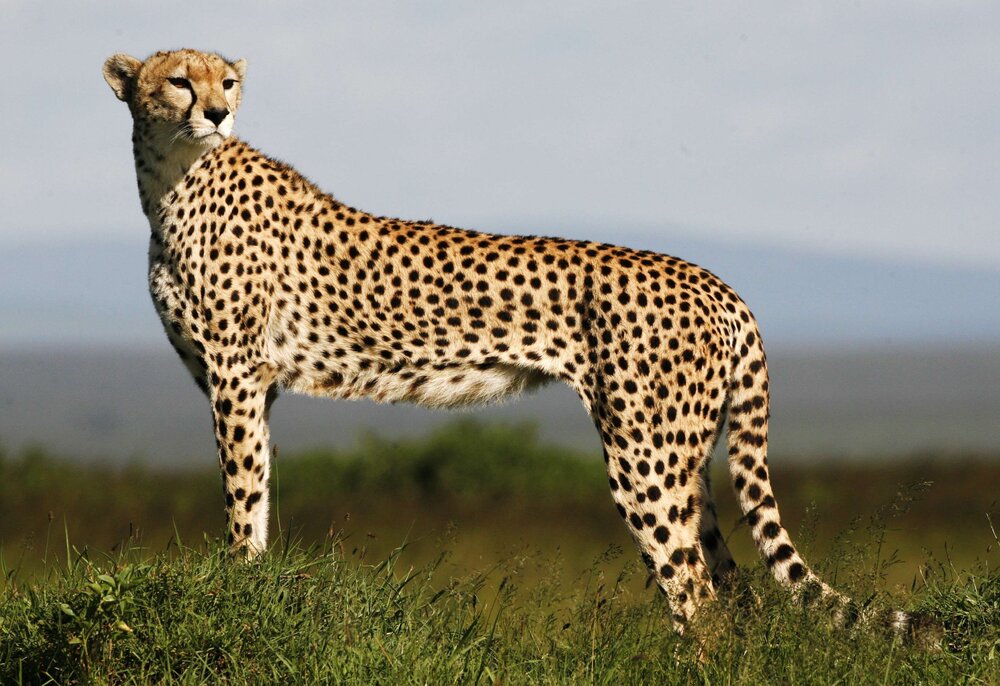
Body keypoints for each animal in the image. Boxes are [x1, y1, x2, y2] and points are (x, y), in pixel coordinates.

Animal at [102, 48, 932, 641]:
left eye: (227, 82)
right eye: (178, 81)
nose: (216, 111)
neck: (171, 179)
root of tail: (717, 282)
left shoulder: (236, 378)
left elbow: (243, 498)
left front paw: (239, 588)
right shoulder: (252, 384)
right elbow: (260, 490)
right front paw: (250, 583)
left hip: (644, 457)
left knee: (696, 596)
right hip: (685, 457)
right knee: (736, 594)